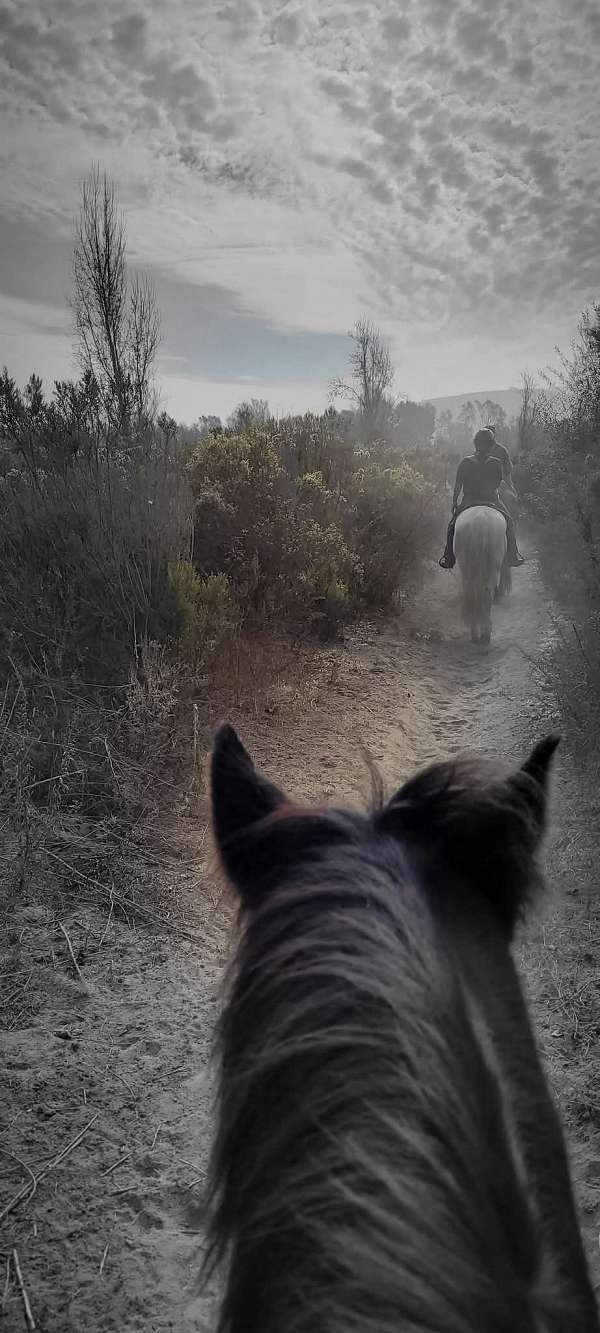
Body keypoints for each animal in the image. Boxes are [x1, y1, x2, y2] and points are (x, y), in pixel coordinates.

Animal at [456, 503, 506, 645]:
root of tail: (481, 520)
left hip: (468, 568)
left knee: (472, 593)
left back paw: (476, 634)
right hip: (492, 566)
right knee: (486, 593)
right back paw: (484, 634)